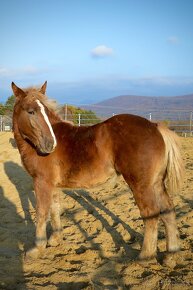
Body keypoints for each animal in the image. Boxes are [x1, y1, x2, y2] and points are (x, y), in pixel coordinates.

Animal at [11, 81, 183, 260]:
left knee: (151, 213)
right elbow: (54, 209)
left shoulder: (41, 182)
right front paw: (55, 239)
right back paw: (172, 255)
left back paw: (145, 255)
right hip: (156, 183)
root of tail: (155, 127)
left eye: (44, 111)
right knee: (168, 210)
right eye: (31, 111)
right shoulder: (53, 185)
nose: (50, 144)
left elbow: (41, 213)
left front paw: (36, 249)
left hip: (141, 185)